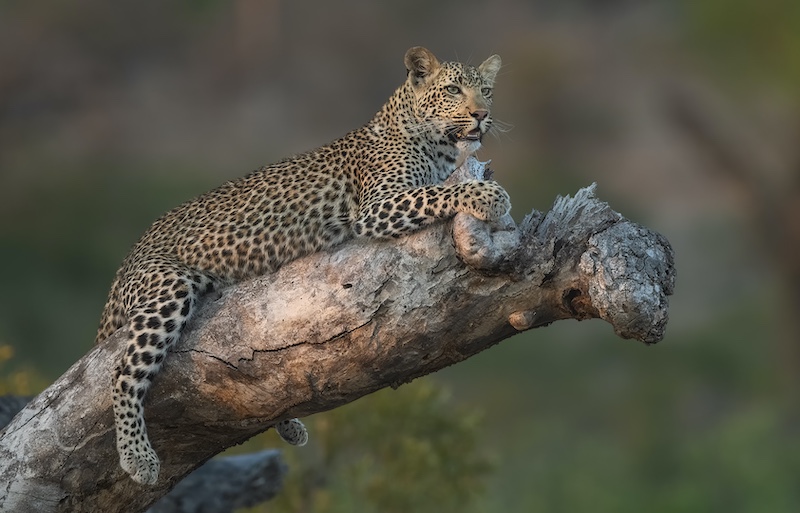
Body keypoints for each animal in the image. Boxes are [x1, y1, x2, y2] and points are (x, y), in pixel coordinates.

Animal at [95, 46, 511, 485]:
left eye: (486, 91)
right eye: (452, 89)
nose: (481, 114)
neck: (436, 144)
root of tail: (128, 260)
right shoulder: (377, 207)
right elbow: (436, 193)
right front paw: (489, 195)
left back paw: (288, 424)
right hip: (167, 289)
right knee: (123, 372)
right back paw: (138, 457)